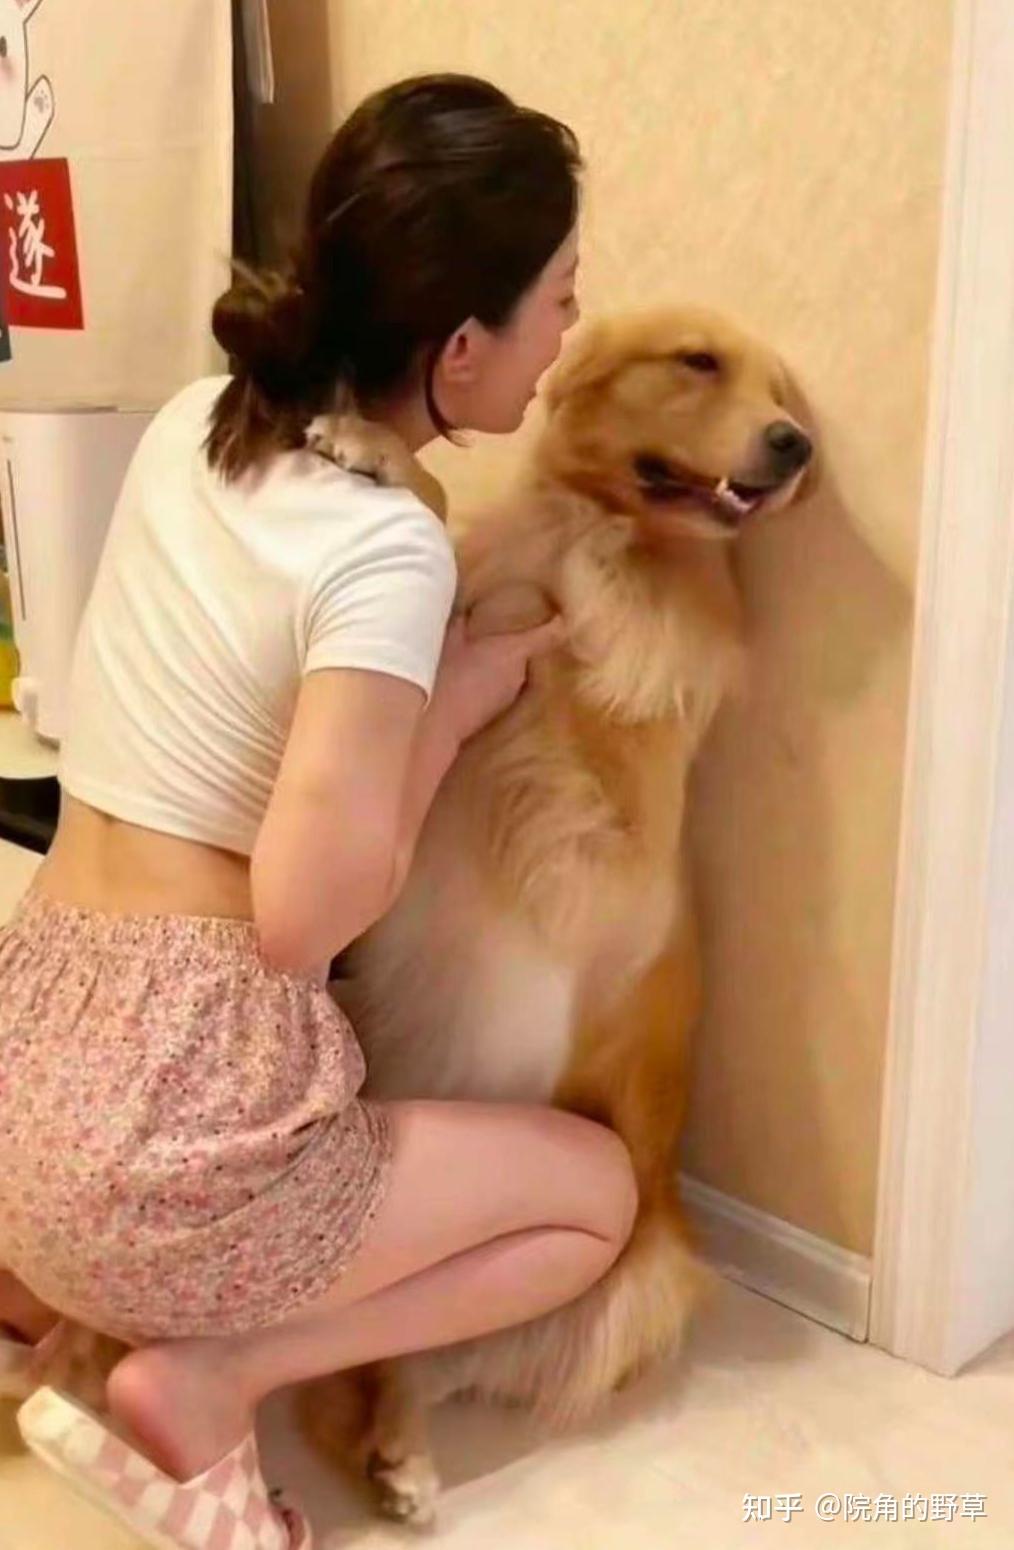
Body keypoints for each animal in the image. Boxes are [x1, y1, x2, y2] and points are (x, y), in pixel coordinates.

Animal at [301, 305, 816, 1524]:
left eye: (783, 395)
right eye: (699, 363)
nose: (796, 448)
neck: (611, 531)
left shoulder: (608, 815)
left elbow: (533, 635)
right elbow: (464, 567)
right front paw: (379, 447)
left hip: (633, 1279)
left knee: (396, 1363)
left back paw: (404, 1463)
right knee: (360, 1369)